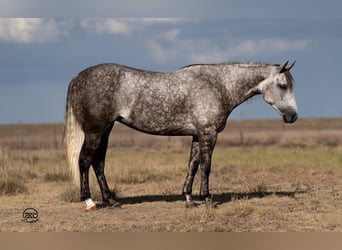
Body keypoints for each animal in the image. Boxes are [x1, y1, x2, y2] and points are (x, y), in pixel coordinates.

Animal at [65, 61, 298, 210]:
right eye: (282, 85)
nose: (293, 116)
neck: (218, 85)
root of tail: (77, 78)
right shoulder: (208, 134)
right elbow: (206, 166)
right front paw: (207, 199)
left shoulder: (197, 136)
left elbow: (192, 165)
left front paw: (188, 198)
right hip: (95, 131)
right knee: (84, 161)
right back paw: (89, 202)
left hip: (105, 131)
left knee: (98, 163)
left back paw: (111, 200)